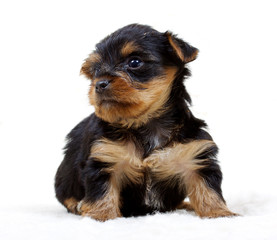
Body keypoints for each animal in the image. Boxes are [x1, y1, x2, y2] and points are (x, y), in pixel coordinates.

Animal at [54, 23, 235, 221]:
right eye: (95, 70)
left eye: (134, 62)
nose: (99, 84)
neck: (144, 122)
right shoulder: (104, 156)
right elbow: (101, 191)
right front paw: (101, 216)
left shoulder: (194, 155)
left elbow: (207, 187)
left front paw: (219, 213)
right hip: (66, 174)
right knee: (66, 194)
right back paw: (77, 205)